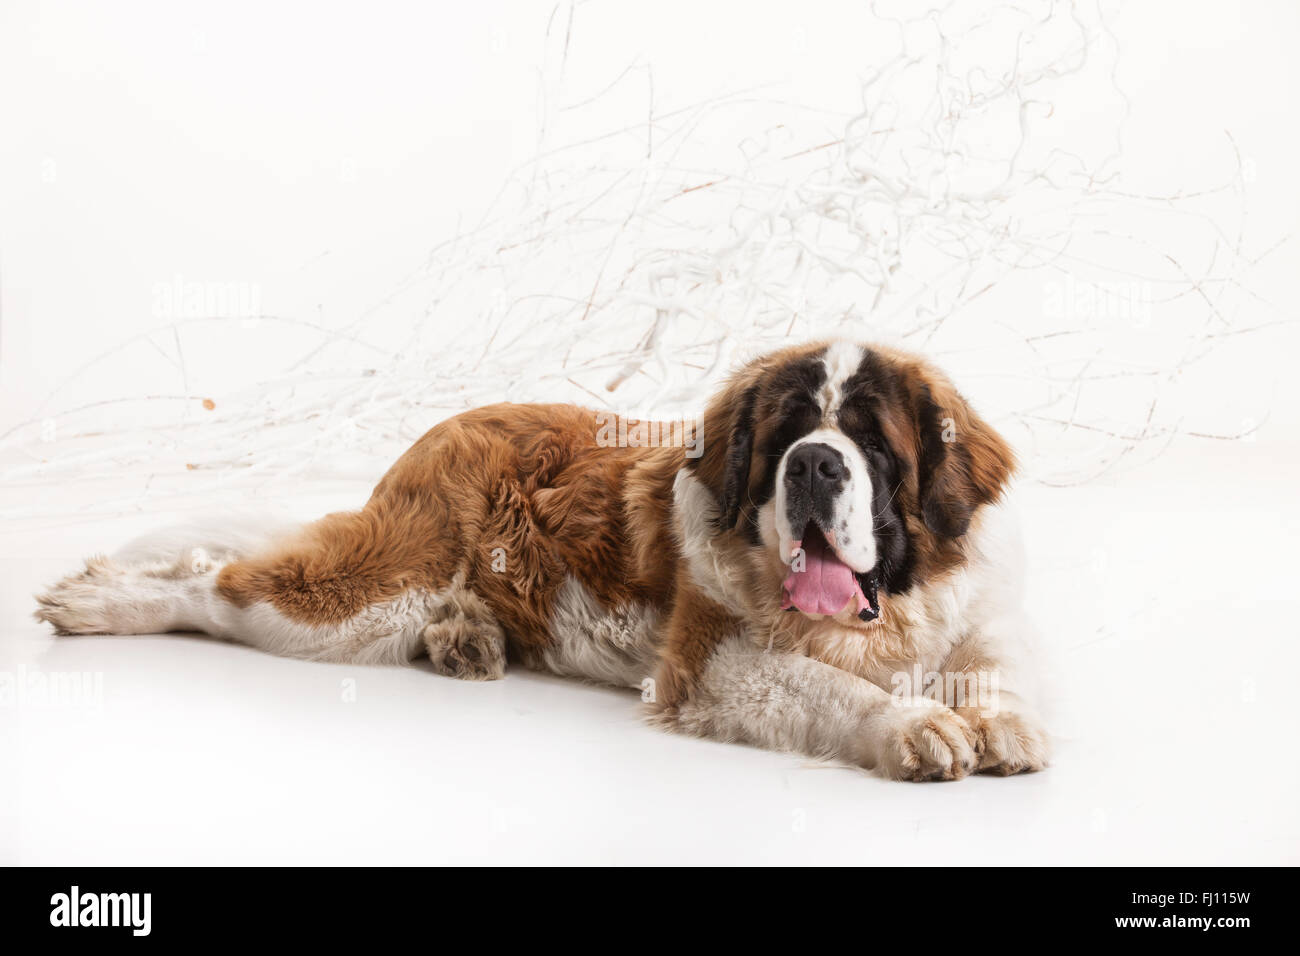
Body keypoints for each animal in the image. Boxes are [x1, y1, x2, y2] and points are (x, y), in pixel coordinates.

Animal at [35, 340, 1050, 780]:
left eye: (873, 445)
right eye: (787, 435)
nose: (814, 463)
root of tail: (449, 423)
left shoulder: (971, 610)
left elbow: (992, 664)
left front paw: (997, 721)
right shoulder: (712, 664)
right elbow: (834, 689)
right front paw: (915, 725)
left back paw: (466, 639)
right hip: (367, 598)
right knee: (218, 587)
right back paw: (103, 601)